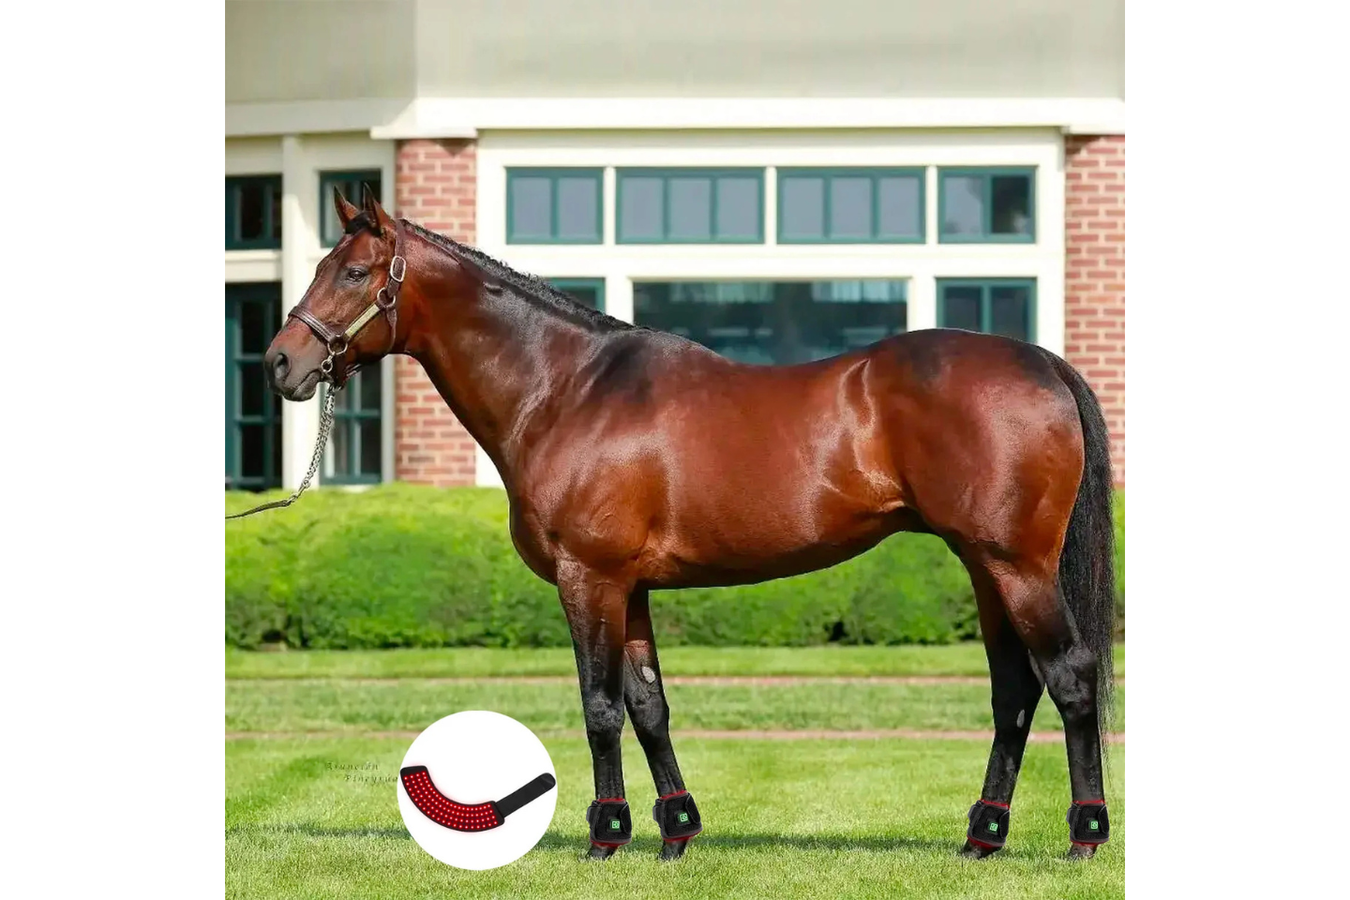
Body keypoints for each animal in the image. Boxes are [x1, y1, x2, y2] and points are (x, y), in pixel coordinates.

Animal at [263, 185, 1117, 862]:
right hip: (985, 567)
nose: (280, 363)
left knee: (1069, 677)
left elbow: (600, 708)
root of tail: (1042, 362)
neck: (566, 389)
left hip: (1017, 566)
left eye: (352, 271)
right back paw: (981, 837)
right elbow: (649, 707)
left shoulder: (589, 579)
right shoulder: (631, 587)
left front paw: (606, 837)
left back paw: (1083, 837)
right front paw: (676, 833)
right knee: (1014, 692)